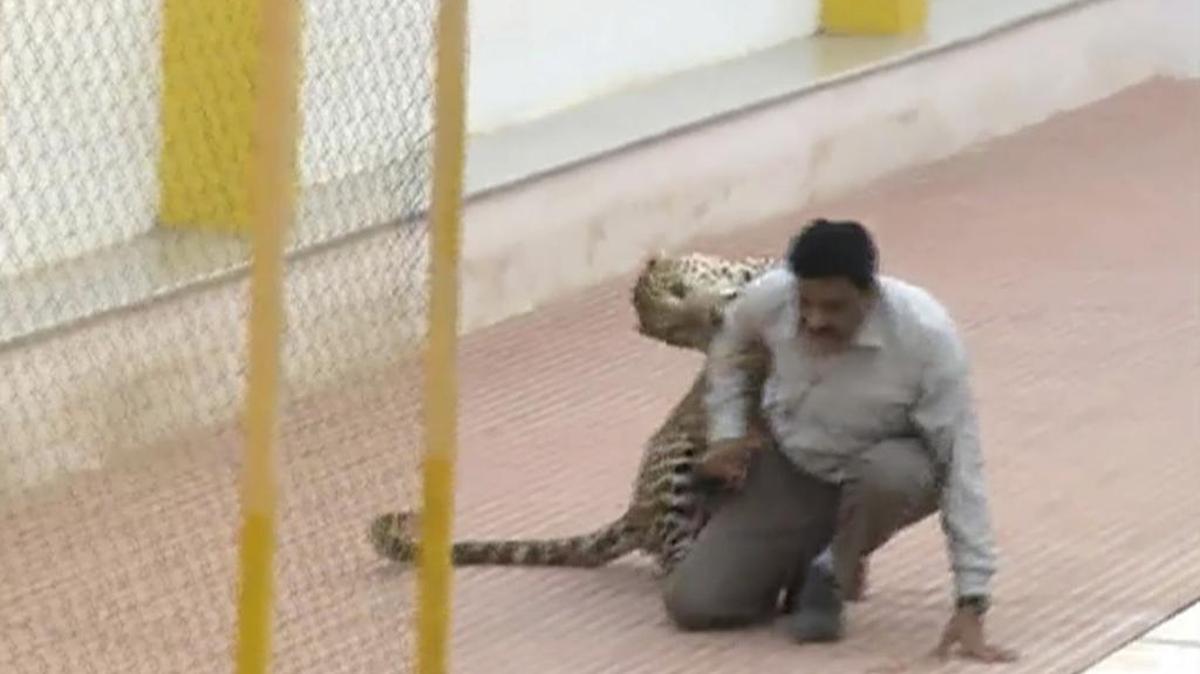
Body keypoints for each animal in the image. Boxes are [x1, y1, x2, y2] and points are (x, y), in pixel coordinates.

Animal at [368, 250, 779, 578]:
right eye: (678, 328)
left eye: (680, 289)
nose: (718, 313)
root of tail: (634, 511)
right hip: (677, 461)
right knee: (673, 556)